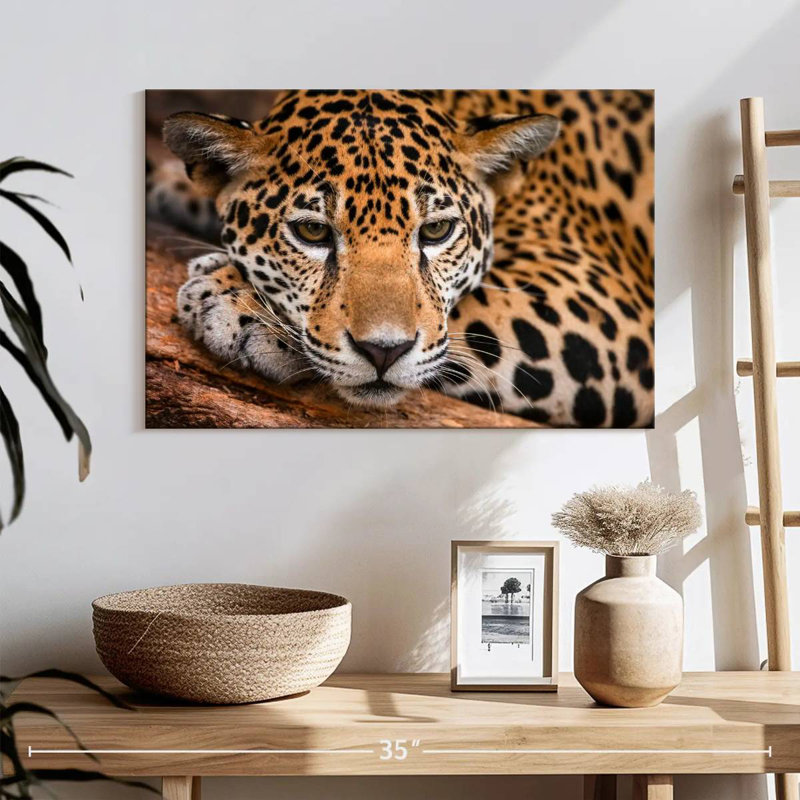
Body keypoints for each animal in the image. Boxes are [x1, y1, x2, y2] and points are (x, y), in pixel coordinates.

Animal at [147, 89, 654, 427]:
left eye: (436, 231)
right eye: (313, 231)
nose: (383, 353)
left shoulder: (602, 300)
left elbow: (461, 316)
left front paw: (237, 302)